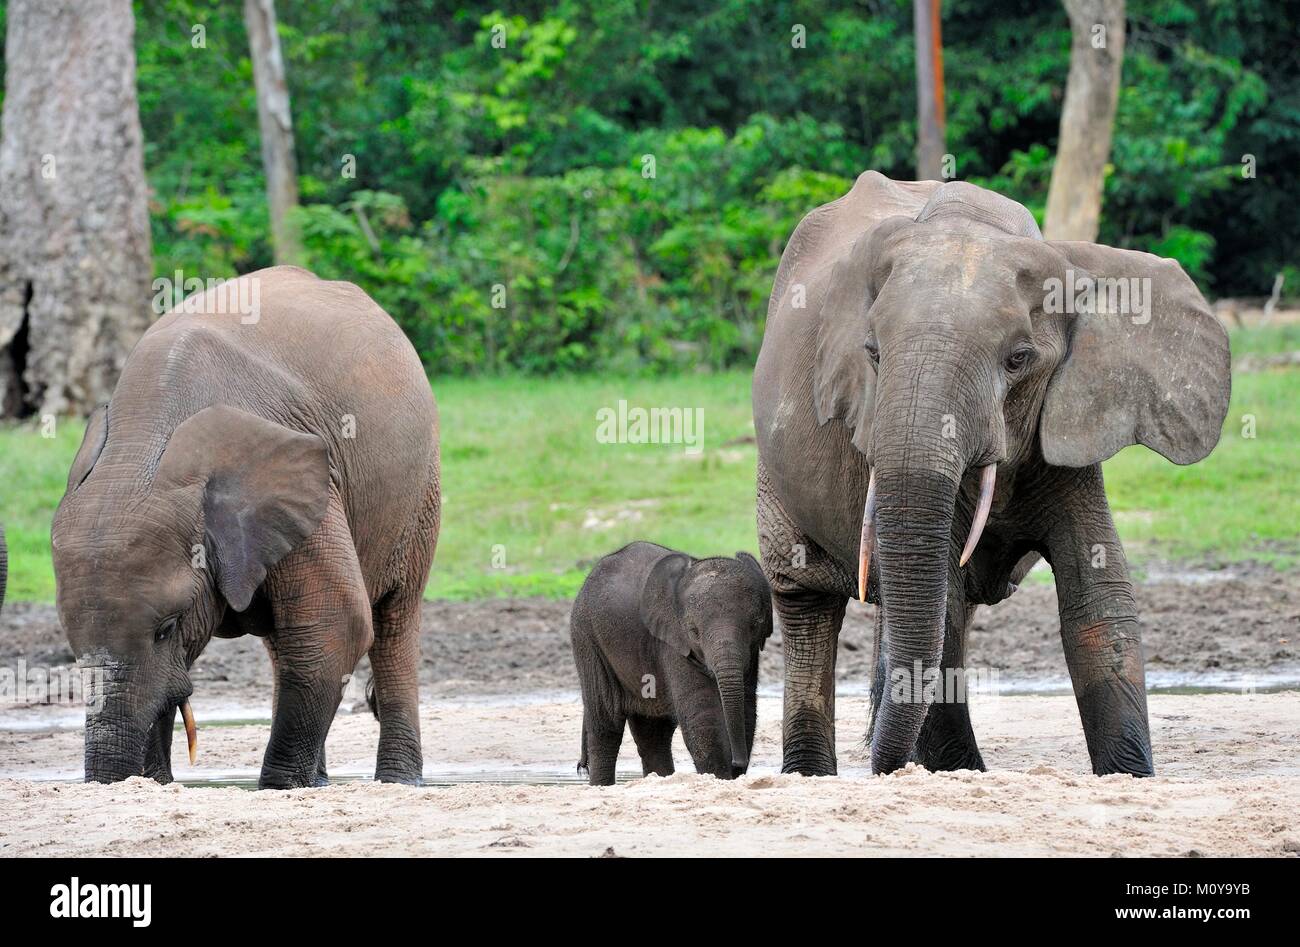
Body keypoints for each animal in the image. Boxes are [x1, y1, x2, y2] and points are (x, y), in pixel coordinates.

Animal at [51, 265, 440, 789]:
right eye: (70, 643)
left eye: (167, 628)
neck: (142, 445)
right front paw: (159, 784)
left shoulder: (310, 485)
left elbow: (337, 622)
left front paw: (278, 787)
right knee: (286, 643)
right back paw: (321, 782)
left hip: (420, 492)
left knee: (394, 618)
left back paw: (396, 782)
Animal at [570, 542, 774, 785]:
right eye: (693, 632)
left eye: (756, 625)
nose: (738, 763)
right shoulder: (672, 642)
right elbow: (702, 715)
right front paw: (719, 778)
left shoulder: (751, 652)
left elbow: (747, 707)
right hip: (587, 636)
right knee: (606, 723)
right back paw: (603, 786)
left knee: (654, 732)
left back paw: (659, 780)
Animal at [753, 173, 1230, 778]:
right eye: (873, 353)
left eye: (1019, 359)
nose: (886, 768)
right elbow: (945, 611)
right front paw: (957, 772)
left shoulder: (1066, 426)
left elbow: (1098, 600)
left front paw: (1129, 776)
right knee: (805, 600)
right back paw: (811, 773)